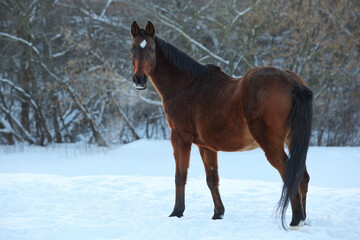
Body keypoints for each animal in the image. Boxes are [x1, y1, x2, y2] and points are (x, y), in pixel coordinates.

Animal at [129, 21, 312, 229]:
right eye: (132, 49)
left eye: (152, 49)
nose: (139, 79)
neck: (187, 85)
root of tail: (292, 83)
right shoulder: (206, 146)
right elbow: (212, 179)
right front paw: (218, 213)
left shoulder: (180, 138)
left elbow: (180, 176)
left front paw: (177, 212)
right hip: (292, 140)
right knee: (302, 176)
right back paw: (303, 218)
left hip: (272, 144)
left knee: (290, 174)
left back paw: (296, 219)